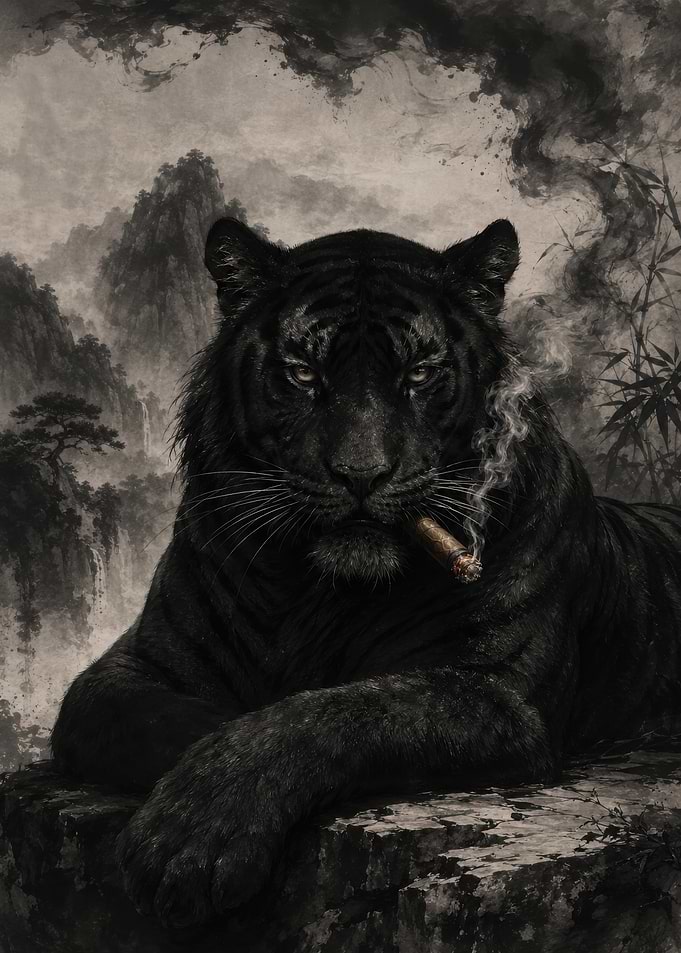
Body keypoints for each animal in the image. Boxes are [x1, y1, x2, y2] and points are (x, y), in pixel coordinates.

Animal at [51, 216, 681, 929]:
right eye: (302, 372)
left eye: (421, 372)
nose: (360, 474)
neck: (315, 592)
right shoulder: (128, 672)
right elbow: (189, 721)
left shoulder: (497, 691)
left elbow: (338, 714)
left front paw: (191, 841)